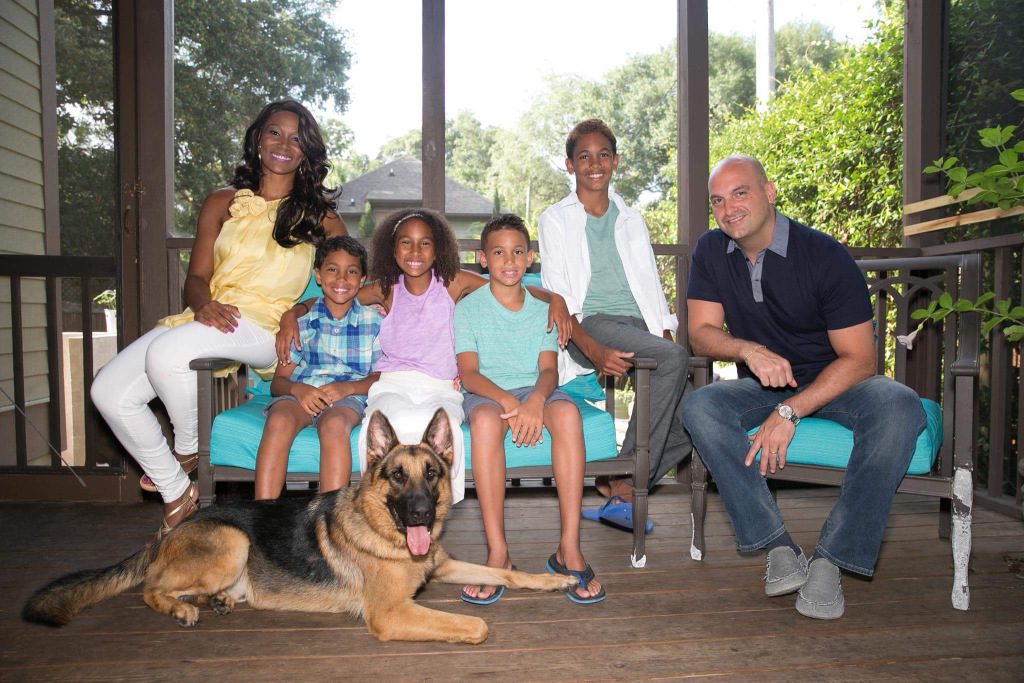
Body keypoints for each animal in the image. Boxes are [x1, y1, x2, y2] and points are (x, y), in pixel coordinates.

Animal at [22, 409, 577, 643]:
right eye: (397, 476)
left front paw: (554, 580)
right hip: (232, 541)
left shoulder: (440, 567)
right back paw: (183, 608)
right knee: (150, 589)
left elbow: (505, 573)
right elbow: (477, 626)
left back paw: (215, 601)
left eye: (433, 474)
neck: (384, 534)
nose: (420, 514)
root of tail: (172, 530)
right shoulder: (390, 614)